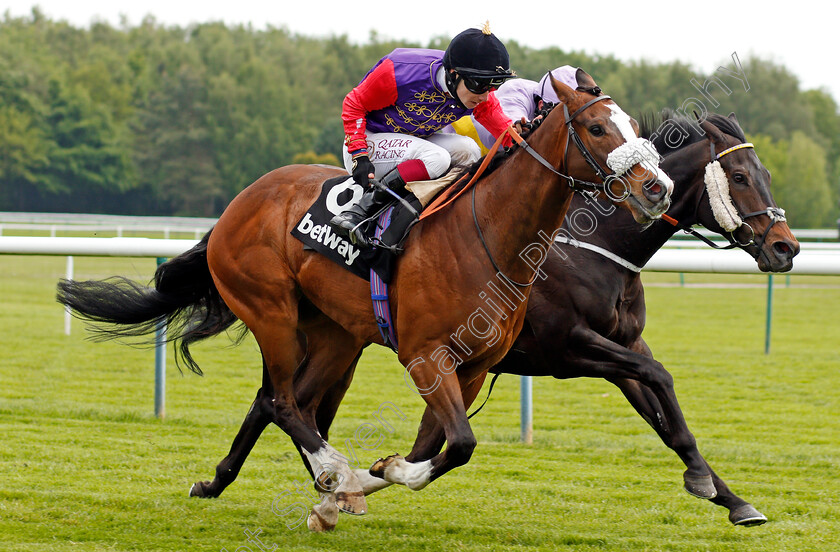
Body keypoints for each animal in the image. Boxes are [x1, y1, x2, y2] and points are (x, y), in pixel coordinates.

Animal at [54, 70, 668, 532]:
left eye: (636, 127)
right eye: (596, 127)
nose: (655, 187)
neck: (489, 235)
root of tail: (238, 203)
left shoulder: (472, 368)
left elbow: (436, 447)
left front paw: (366, 479)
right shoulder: (425, 357)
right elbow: (458, 444)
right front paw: (361, 477)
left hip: (335, 334)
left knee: (289, 402)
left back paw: (245, 482)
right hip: (271, 310)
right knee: (281, 402)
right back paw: (332, 471)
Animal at [294, 111, 800, 528]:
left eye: (767, 174)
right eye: (739, 176)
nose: (786, 247)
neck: (593, 245)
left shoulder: (624, 347)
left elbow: (668, 418)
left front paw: (728, 496)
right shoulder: (569, 347)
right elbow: (659, 377)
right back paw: (336, 485)